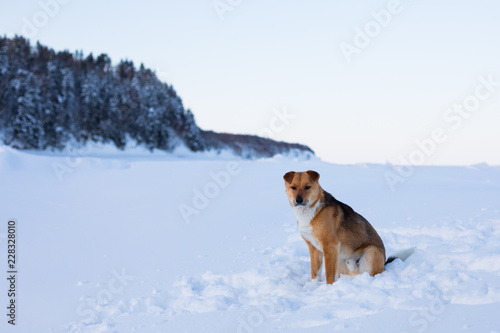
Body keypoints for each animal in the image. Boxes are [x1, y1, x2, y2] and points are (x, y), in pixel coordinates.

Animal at [284, 171, 412, 282]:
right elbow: (315, 272)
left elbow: (329, 275)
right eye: (293, 187)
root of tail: (384, 264)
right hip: (341, 261)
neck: (310, 212)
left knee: (370, 274)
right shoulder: (314, 248)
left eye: (307, 187)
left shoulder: (330, 246)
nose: (299, 200)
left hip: (371, 252)